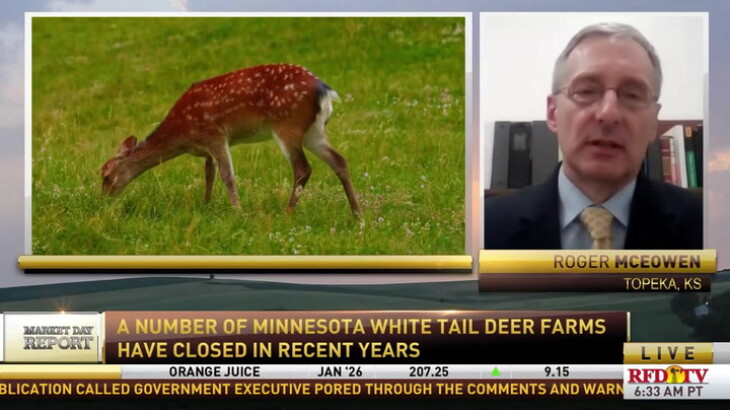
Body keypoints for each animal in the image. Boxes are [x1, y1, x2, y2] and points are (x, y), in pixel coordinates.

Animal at [101, 63, 362, 218]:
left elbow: (227, 175)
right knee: (340, 161)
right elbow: (209, 174)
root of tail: (325, 91)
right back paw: (357, 216)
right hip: (314, 132)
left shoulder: (215, 134)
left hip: (287, 125)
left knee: (303, 168)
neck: (182, 132)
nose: (103, 199)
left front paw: (238, 212)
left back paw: (286, 213)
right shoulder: (206, 146)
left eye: (106, 175)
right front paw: (206, 206)